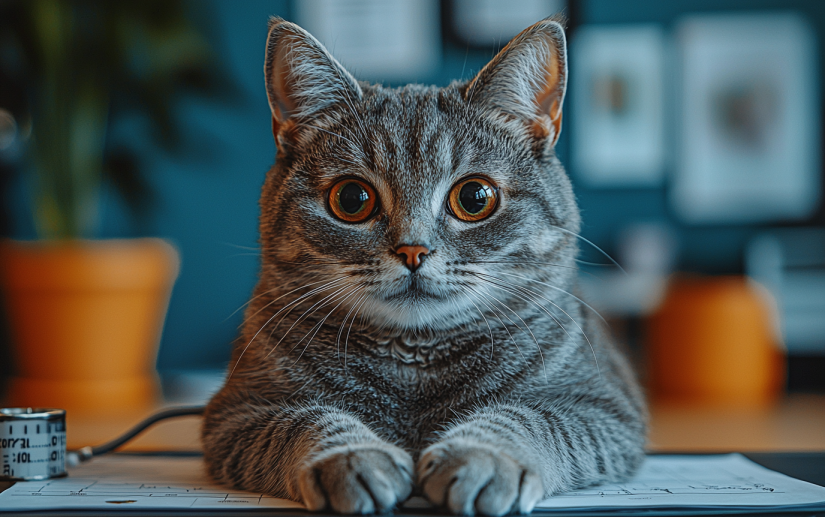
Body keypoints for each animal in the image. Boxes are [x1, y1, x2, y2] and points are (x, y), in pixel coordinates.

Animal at [203, 16, 648, 516]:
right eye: (351, 198)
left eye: (475, 197)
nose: (413, 251)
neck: (414, 358)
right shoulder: (239, 411)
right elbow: (309, 421)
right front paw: (353, 459)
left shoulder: (600, 405)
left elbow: (524, 416)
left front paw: (481, 458)